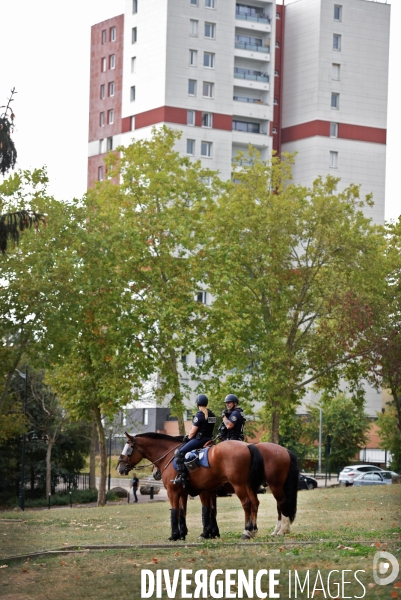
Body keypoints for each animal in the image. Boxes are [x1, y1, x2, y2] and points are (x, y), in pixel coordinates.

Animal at [117, 428, 264, 540]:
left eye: (128, 449)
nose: (120, 468)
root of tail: (247, 445)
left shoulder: (174, 491)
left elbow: (177, 511)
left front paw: (175, 535)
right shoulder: (186, 491)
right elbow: (187, 511)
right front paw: (186, 533)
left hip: (239, 485)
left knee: (247, 503)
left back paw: (247, 531)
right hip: (248, 486)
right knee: (254, 503)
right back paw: (253, 530)